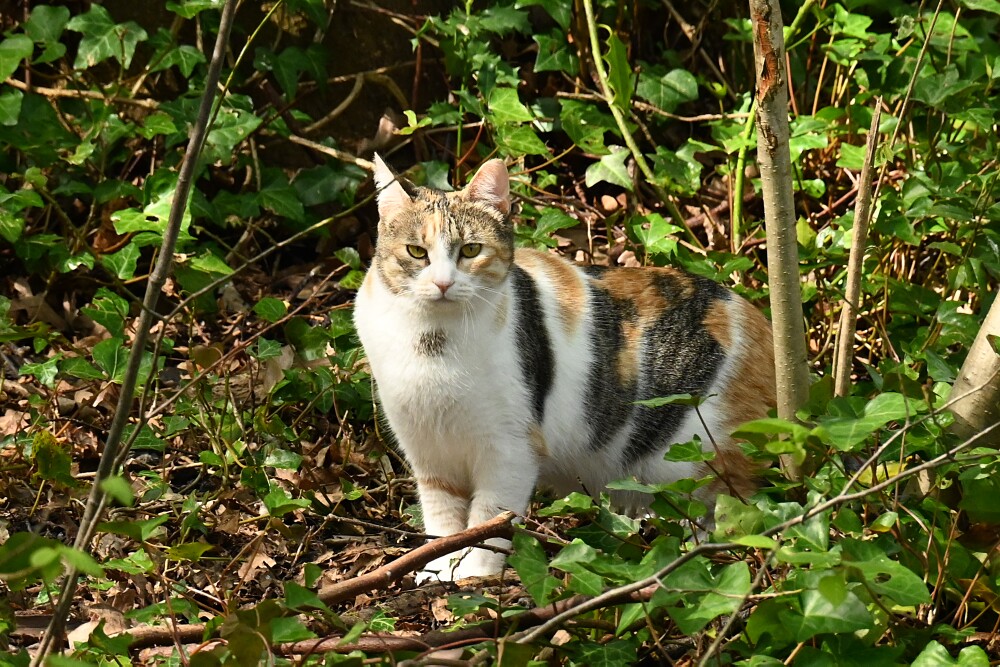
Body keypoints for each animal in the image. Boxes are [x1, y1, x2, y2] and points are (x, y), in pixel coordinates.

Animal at [353, 154, 776, 582]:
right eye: (416, 251)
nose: (442, 283)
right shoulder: (428, 453)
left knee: (733, 507)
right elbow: (442, 522)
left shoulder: (511, 448)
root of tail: (765, 327)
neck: (433, 341)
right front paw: (438, 571)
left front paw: (476, 575)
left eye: (471, 250)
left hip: (698, 456)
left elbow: (489, 519)